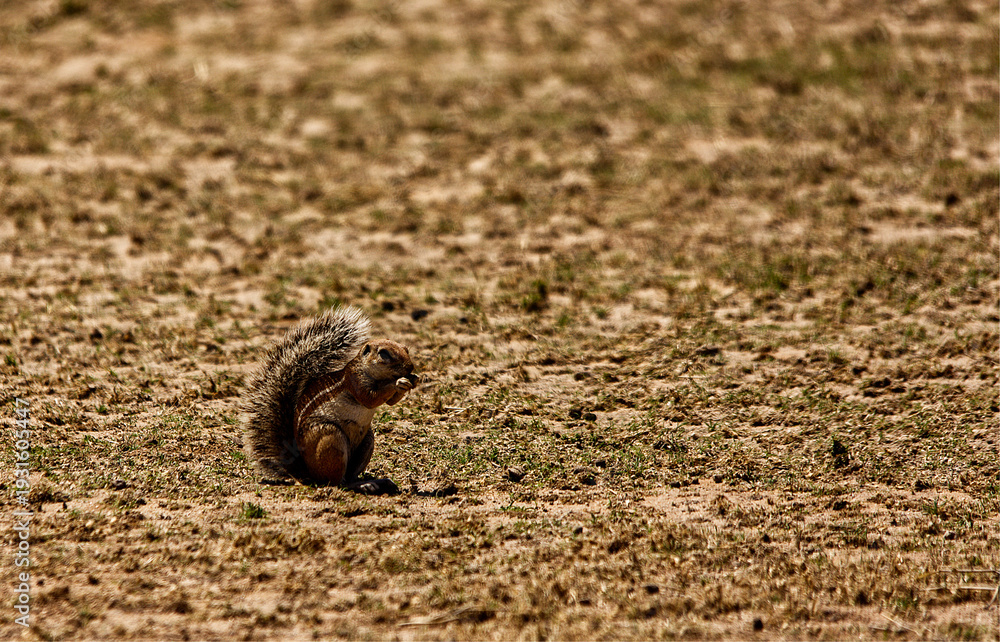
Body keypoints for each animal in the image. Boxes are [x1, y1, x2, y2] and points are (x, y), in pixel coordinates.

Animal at [241, 306, 417, 494]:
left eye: (406, 349)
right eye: (384, 353)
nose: (410, 367)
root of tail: (306, 473)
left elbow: (389, 402)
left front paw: (412, 380)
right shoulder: (355, 381)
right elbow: (370, 398)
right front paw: (398, 382)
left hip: (367, 441)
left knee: (349, 476)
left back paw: (377, 482)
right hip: (331, 438)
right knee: (336, 482)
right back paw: (362, 485)